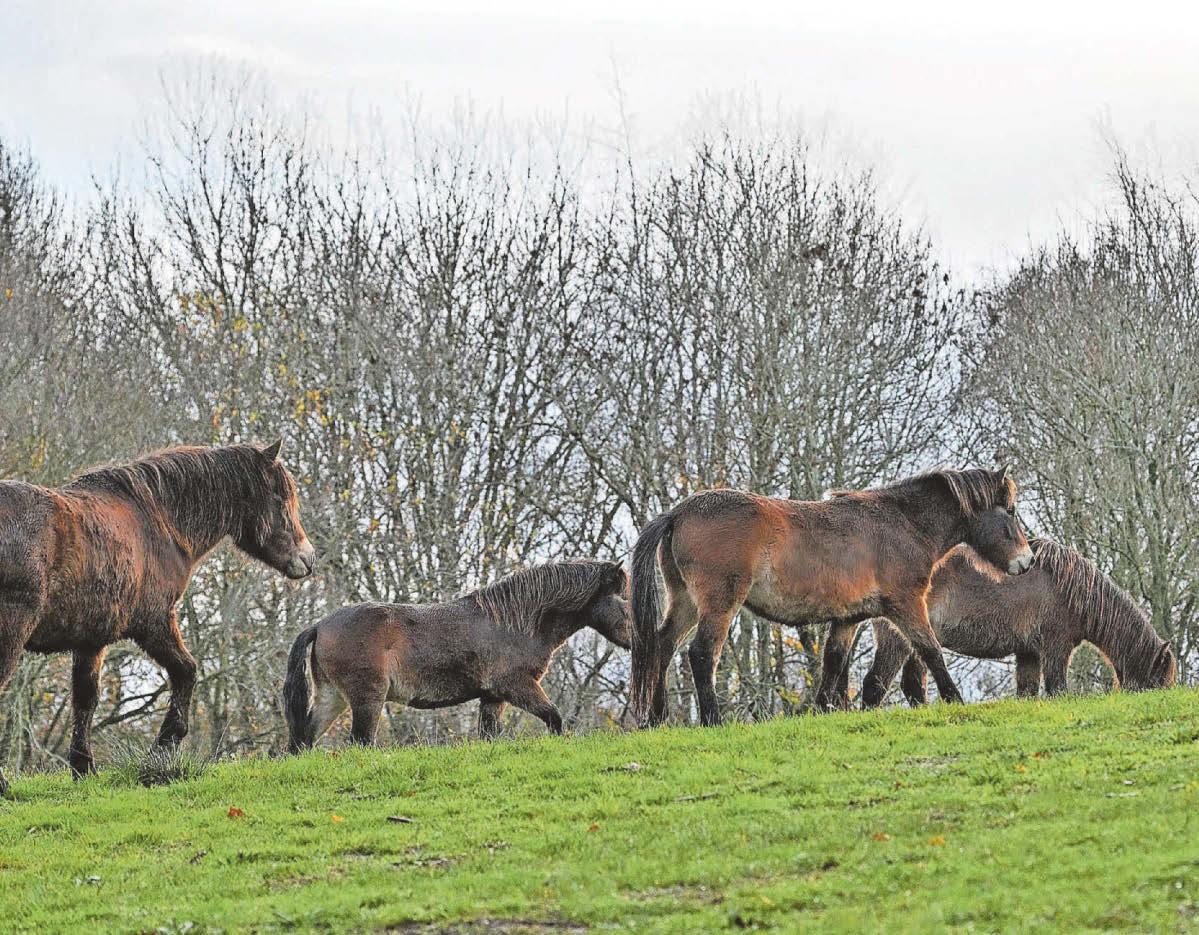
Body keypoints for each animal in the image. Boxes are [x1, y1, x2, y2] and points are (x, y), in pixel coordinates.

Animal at [0, 441, 314, 794]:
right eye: (281, 499)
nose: (308, 558)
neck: (158, 521)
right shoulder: (155, 623)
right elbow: (186, 671)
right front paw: (164, 747)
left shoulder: (91, 641)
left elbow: (85, 699)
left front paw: (84, 768)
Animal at [283, 559, 630, 751]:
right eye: (624, 598)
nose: (635, 641)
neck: (513, 620)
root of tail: (321, 625)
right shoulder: (517, 686)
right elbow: (554, 717)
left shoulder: (493, 697)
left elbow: (489, 734)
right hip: (368, 698)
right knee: (359, 741)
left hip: (333, 697)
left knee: (305, 738)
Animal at [628, 467, 1034, 727]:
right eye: (1011, 510)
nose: (1027, 561)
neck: (901, 524)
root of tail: (679, 512)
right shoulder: (906, 605)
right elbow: (931, 651)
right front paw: (955, 701)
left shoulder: (847, 619)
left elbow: (833, 664)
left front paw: (823, 711)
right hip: (718, 605)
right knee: (701, 654)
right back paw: (712, 720)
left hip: (685, 602)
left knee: (662, 645)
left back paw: (656, 717)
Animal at [820, 539, 1177, 708]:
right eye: (1159, 682)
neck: (1070, 587)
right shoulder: (1056, 649)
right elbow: (1057, 689)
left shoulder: (1029, 653)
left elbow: (1028, 692)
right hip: (897, 641)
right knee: (875, 686)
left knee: (912, 687)